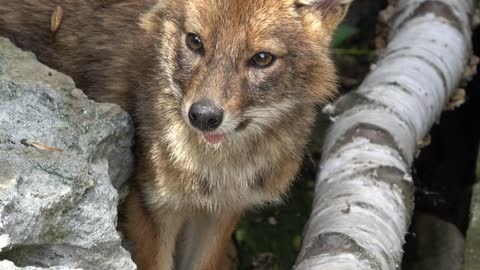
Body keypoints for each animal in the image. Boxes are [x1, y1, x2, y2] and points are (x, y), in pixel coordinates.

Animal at [0, 0, 352, 268]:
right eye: (195, 42)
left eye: (262, 58)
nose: (203, 116)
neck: (217, 171)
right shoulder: (152, 210)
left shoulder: (219, 215)